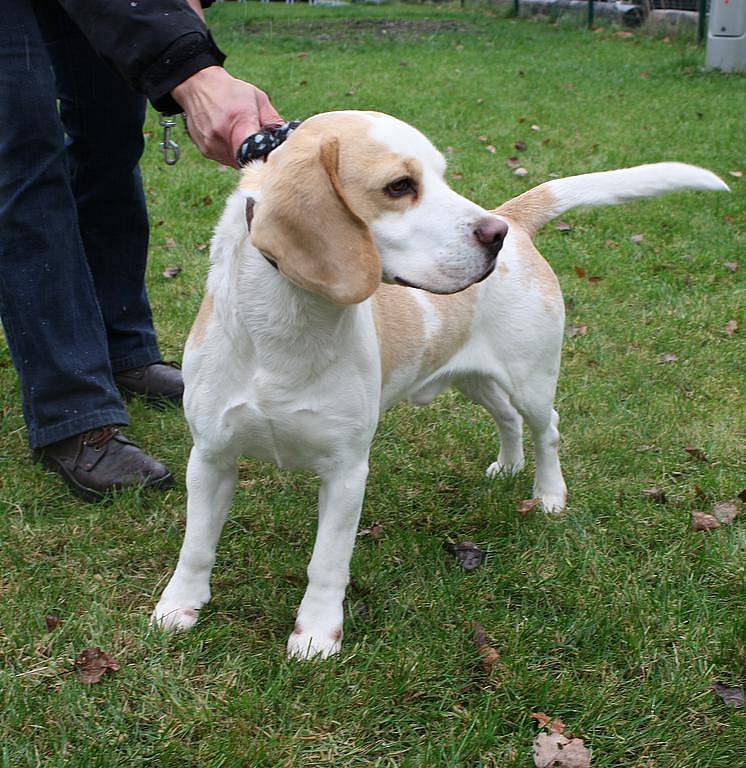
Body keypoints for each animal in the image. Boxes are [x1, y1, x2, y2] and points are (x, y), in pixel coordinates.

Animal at [151, 109, 728, 660]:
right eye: (400, 186)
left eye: (443, 176)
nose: (495, 235)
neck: (285, 328)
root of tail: (517, 217)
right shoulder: (210, 457)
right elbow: (195, 546)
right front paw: (179, 607)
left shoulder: (346, 472)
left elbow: (326, 564)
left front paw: (315, 636)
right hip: (474, 379)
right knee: (507, 419)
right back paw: (508, 467)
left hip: (531, 379)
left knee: (547, 430)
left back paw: (548, 493)